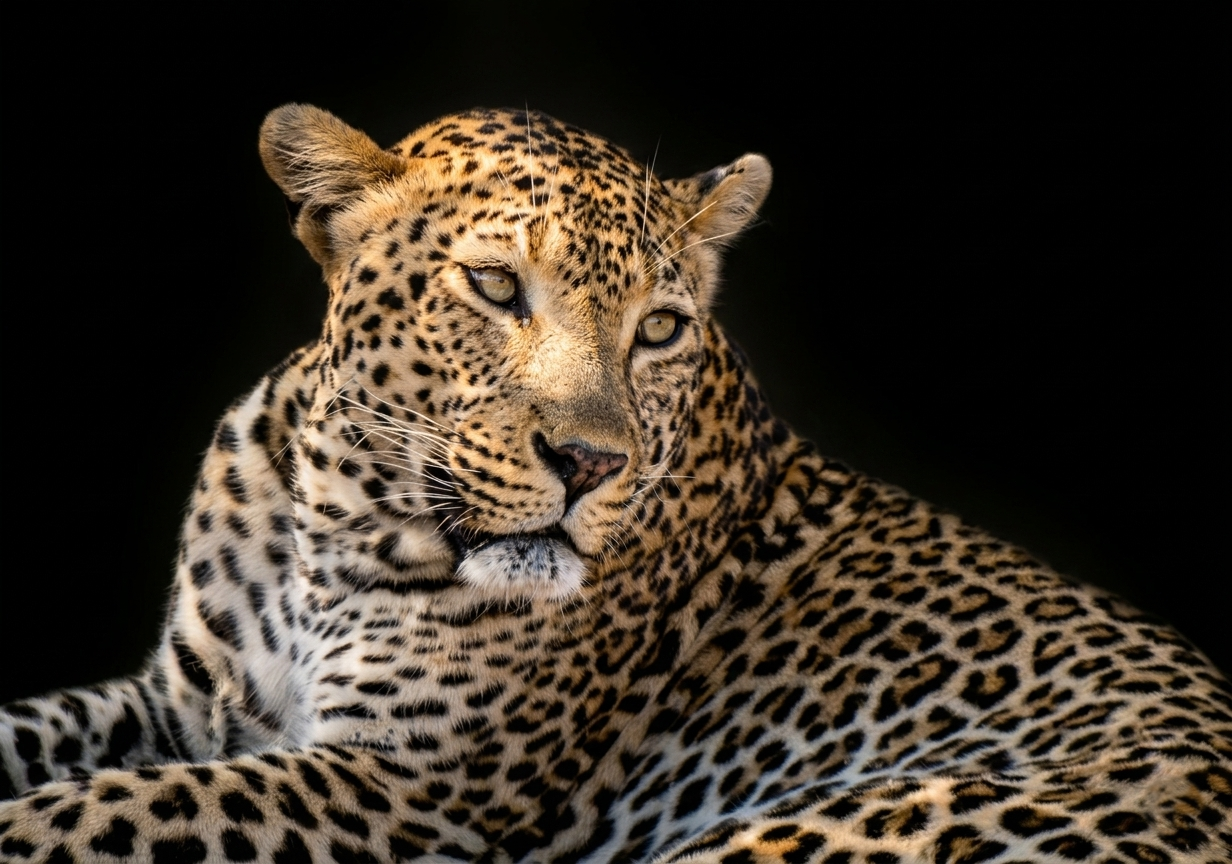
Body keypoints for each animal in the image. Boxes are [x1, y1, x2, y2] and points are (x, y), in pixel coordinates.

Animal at [2, 104, 1229, 864]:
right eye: (496, 286)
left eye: (661, 329)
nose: (589, 463)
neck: (338, 517)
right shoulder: (180, 707)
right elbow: (42, 735)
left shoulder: (413, 788)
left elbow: (104, 814)